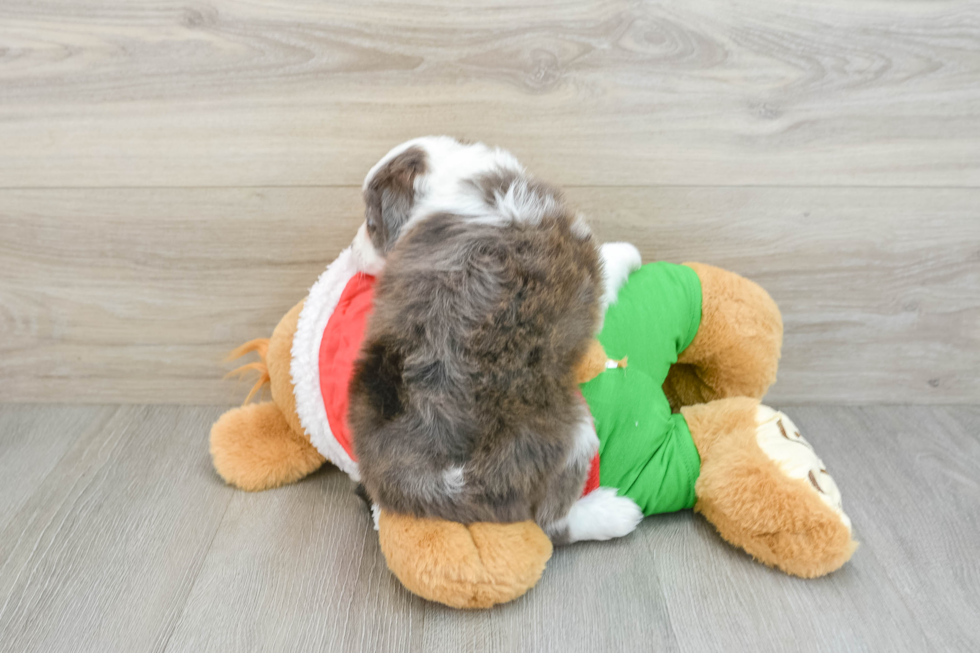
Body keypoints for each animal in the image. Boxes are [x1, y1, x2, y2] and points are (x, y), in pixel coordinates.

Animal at [350, 138, 644, 544]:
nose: (351, 253)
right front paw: (631, 254)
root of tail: (433, 471)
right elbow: (608, 261)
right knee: (549, 520)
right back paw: (614, 513)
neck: (456, 177)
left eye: (371, 223)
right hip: (568, 436)